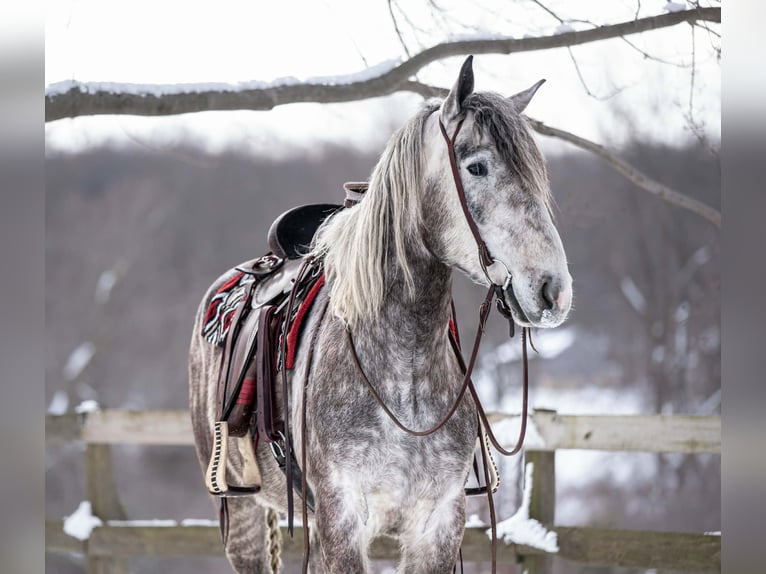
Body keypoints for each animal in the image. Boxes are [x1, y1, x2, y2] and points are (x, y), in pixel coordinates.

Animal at [189, 55, 572, 573]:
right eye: (476, 166)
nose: (553, 291)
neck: (403, 374)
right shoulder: (341, 523)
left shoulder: (438, 527)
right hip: (242, 513)